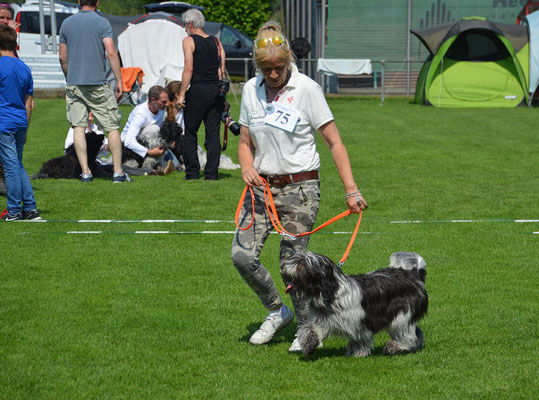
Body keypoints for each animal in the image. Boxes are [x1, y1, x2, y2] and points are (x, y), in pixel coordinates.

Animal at [282, 252, 430, 358]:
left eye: (302, 263)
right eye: (295, 258)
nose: (282, 267)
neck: (331, 293)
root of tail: (414, 274)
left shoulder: (358, 322)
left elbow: (359, 339)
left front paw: (358, 353)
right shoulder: (323, 319)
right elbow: (310, 330)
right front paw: (308, 345)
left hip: (401, 313)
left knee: (407, 335)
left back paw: (394, 347)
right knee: (416, 332)